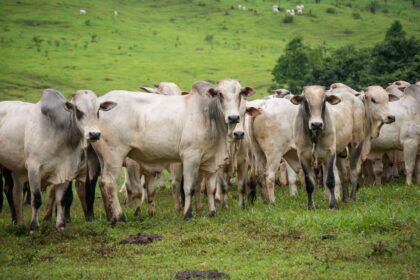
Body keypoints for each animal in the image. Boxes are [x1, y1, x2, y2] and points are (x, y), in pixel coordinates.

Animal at [0, 89, 116, 230]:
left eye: (98, 110)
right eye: (78, 110)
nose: (94, 134)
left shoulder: (66, 170)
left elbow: (62, 199)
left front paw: (61, 226)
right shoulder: (33, 168)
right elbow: (36, 199)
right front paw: (33, 226)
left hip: (16, 170)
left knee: (17, 193)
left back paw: (19, 223)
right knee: (9, 191)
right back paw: (16, 221)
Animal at [93, 79, 254, 221]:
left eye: (240, 93)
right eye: (220, 93)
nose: (233, 117)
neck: (208, 114)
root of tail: (99, 102)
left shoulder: (212, 161)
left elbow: (211, 189)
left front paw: (212, 212)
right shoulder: (190, 157)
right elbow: (189, 187)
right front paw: (187, 214)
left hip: (103, 158)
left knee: (102, 183)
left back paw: (110, 217)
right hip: (114, 155)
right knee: (109, 183)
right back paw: (120, 217)